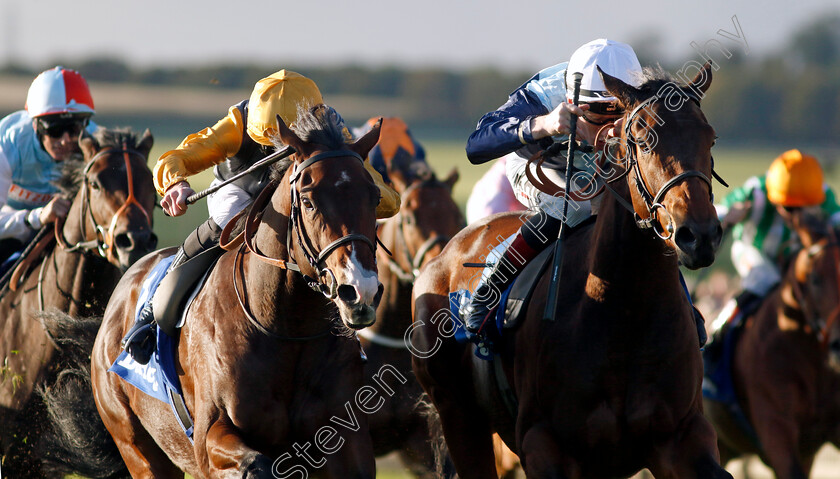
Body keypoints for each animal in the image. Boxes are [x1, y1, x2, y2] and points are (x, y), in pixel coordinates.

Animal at [89, 108, 384, 479]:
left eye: (375, 197)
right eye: (308, 200)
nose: (360, 291)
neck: (286, 328)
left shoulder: (347, 436)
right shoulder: (210, 437)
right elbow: (257, 463)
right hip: (135, 445)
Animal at [414, 62, 736, 478]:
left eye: (710, 139)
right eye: (643, 140)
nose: (700, 235)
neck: (624, 317)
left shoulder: (682, 436)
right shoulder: (543, 444)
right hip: (458, 415)